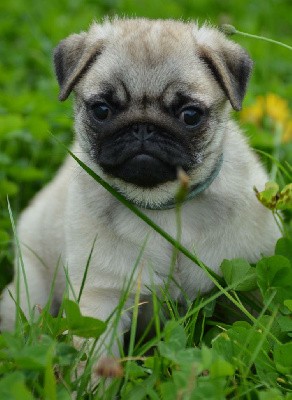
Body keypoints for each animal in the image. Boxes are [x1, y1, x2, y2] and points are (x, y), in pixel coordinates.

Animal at [0, 18, 280, 354]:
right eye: (102, 110)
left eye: (190, 115)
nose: (143, 128)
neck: (164, 205)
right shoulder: (101, 297)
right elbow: (95, 356)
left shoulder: (249, 277)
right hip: (30, 287)